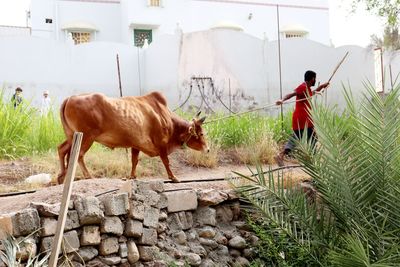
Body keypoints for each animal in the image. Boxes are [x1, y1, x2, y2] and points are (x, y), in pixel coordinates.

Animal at [57, 92, 208, 184]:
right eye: (201, 134)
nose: (207, 150)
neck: (166, 118)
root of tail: (70, 98)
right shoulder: (161, 143)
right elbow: (166, 161)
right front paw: (173, 177)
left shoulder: (136, 145)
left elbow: (134, 161)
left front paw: (132, 176)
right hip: (87, 137)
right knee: (78, 155)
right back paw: (87, 176)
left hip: (72, 136)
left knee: (62, 150)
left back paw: (62, 177)